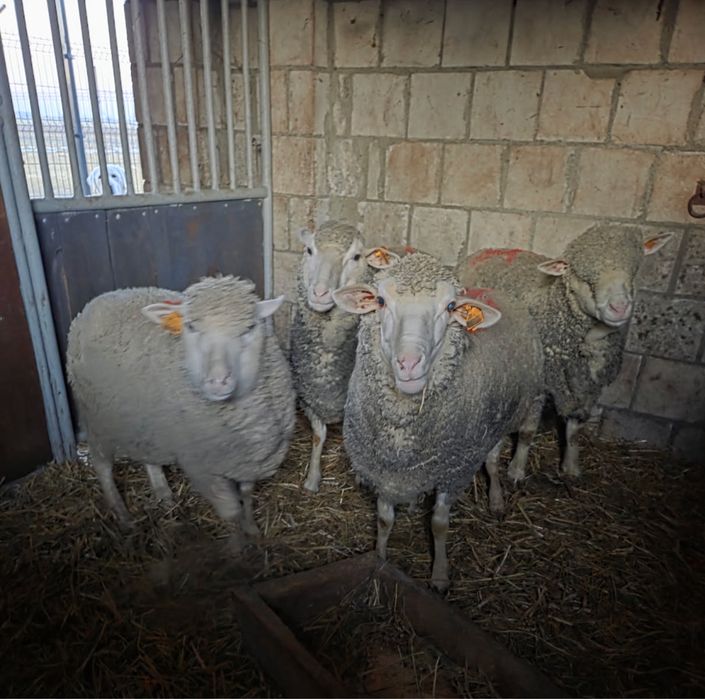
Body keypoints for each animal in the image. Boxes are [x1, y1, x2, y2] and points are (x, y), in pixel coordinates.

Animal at [66, 276, 295, 544]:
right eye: (191, 326)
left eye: (249, 327)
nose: (218, 380)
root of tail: (99, 300)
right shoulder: (202, 468)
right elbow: (231, 512)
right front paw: (238, 545)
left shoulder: (250, 459)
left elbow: (247, 496)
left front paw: (252, 530)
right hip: (97, 417)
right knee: (102, 465)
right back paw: (123, 517)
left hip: (146, 420)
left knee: (149, 457)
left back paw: (163, 494)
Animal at [289, 220, 400, 492]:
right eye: (309, 250)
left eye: (356, 257)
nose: (320, 293)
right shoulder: (311, 397)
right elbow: (318, 436)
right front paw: (312, 479)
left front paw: (361, 475)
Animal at [332, 252, 545, 590]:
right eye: (380, 300)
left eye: (450, 307)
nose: (408, 364)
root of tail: (496, 291)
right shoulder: (383, 470)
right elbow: (384, 520)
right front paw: (379, 558)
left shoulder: (453, 470)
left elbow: (439, 524)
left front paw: (440, 576)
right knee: (491, 459)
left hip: (525, 401)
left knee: (511, 446)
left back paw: (505, 487)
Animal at [457, 225, 674, 479]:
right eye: (584, 279)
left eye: (634, 272)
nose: (619, 308)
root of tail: (487, 249)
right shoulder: (538, 384)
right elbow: (528, 431)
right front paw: (517, 470)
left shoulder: (588, 387)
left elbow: (574, 429)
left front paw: (571, 467)